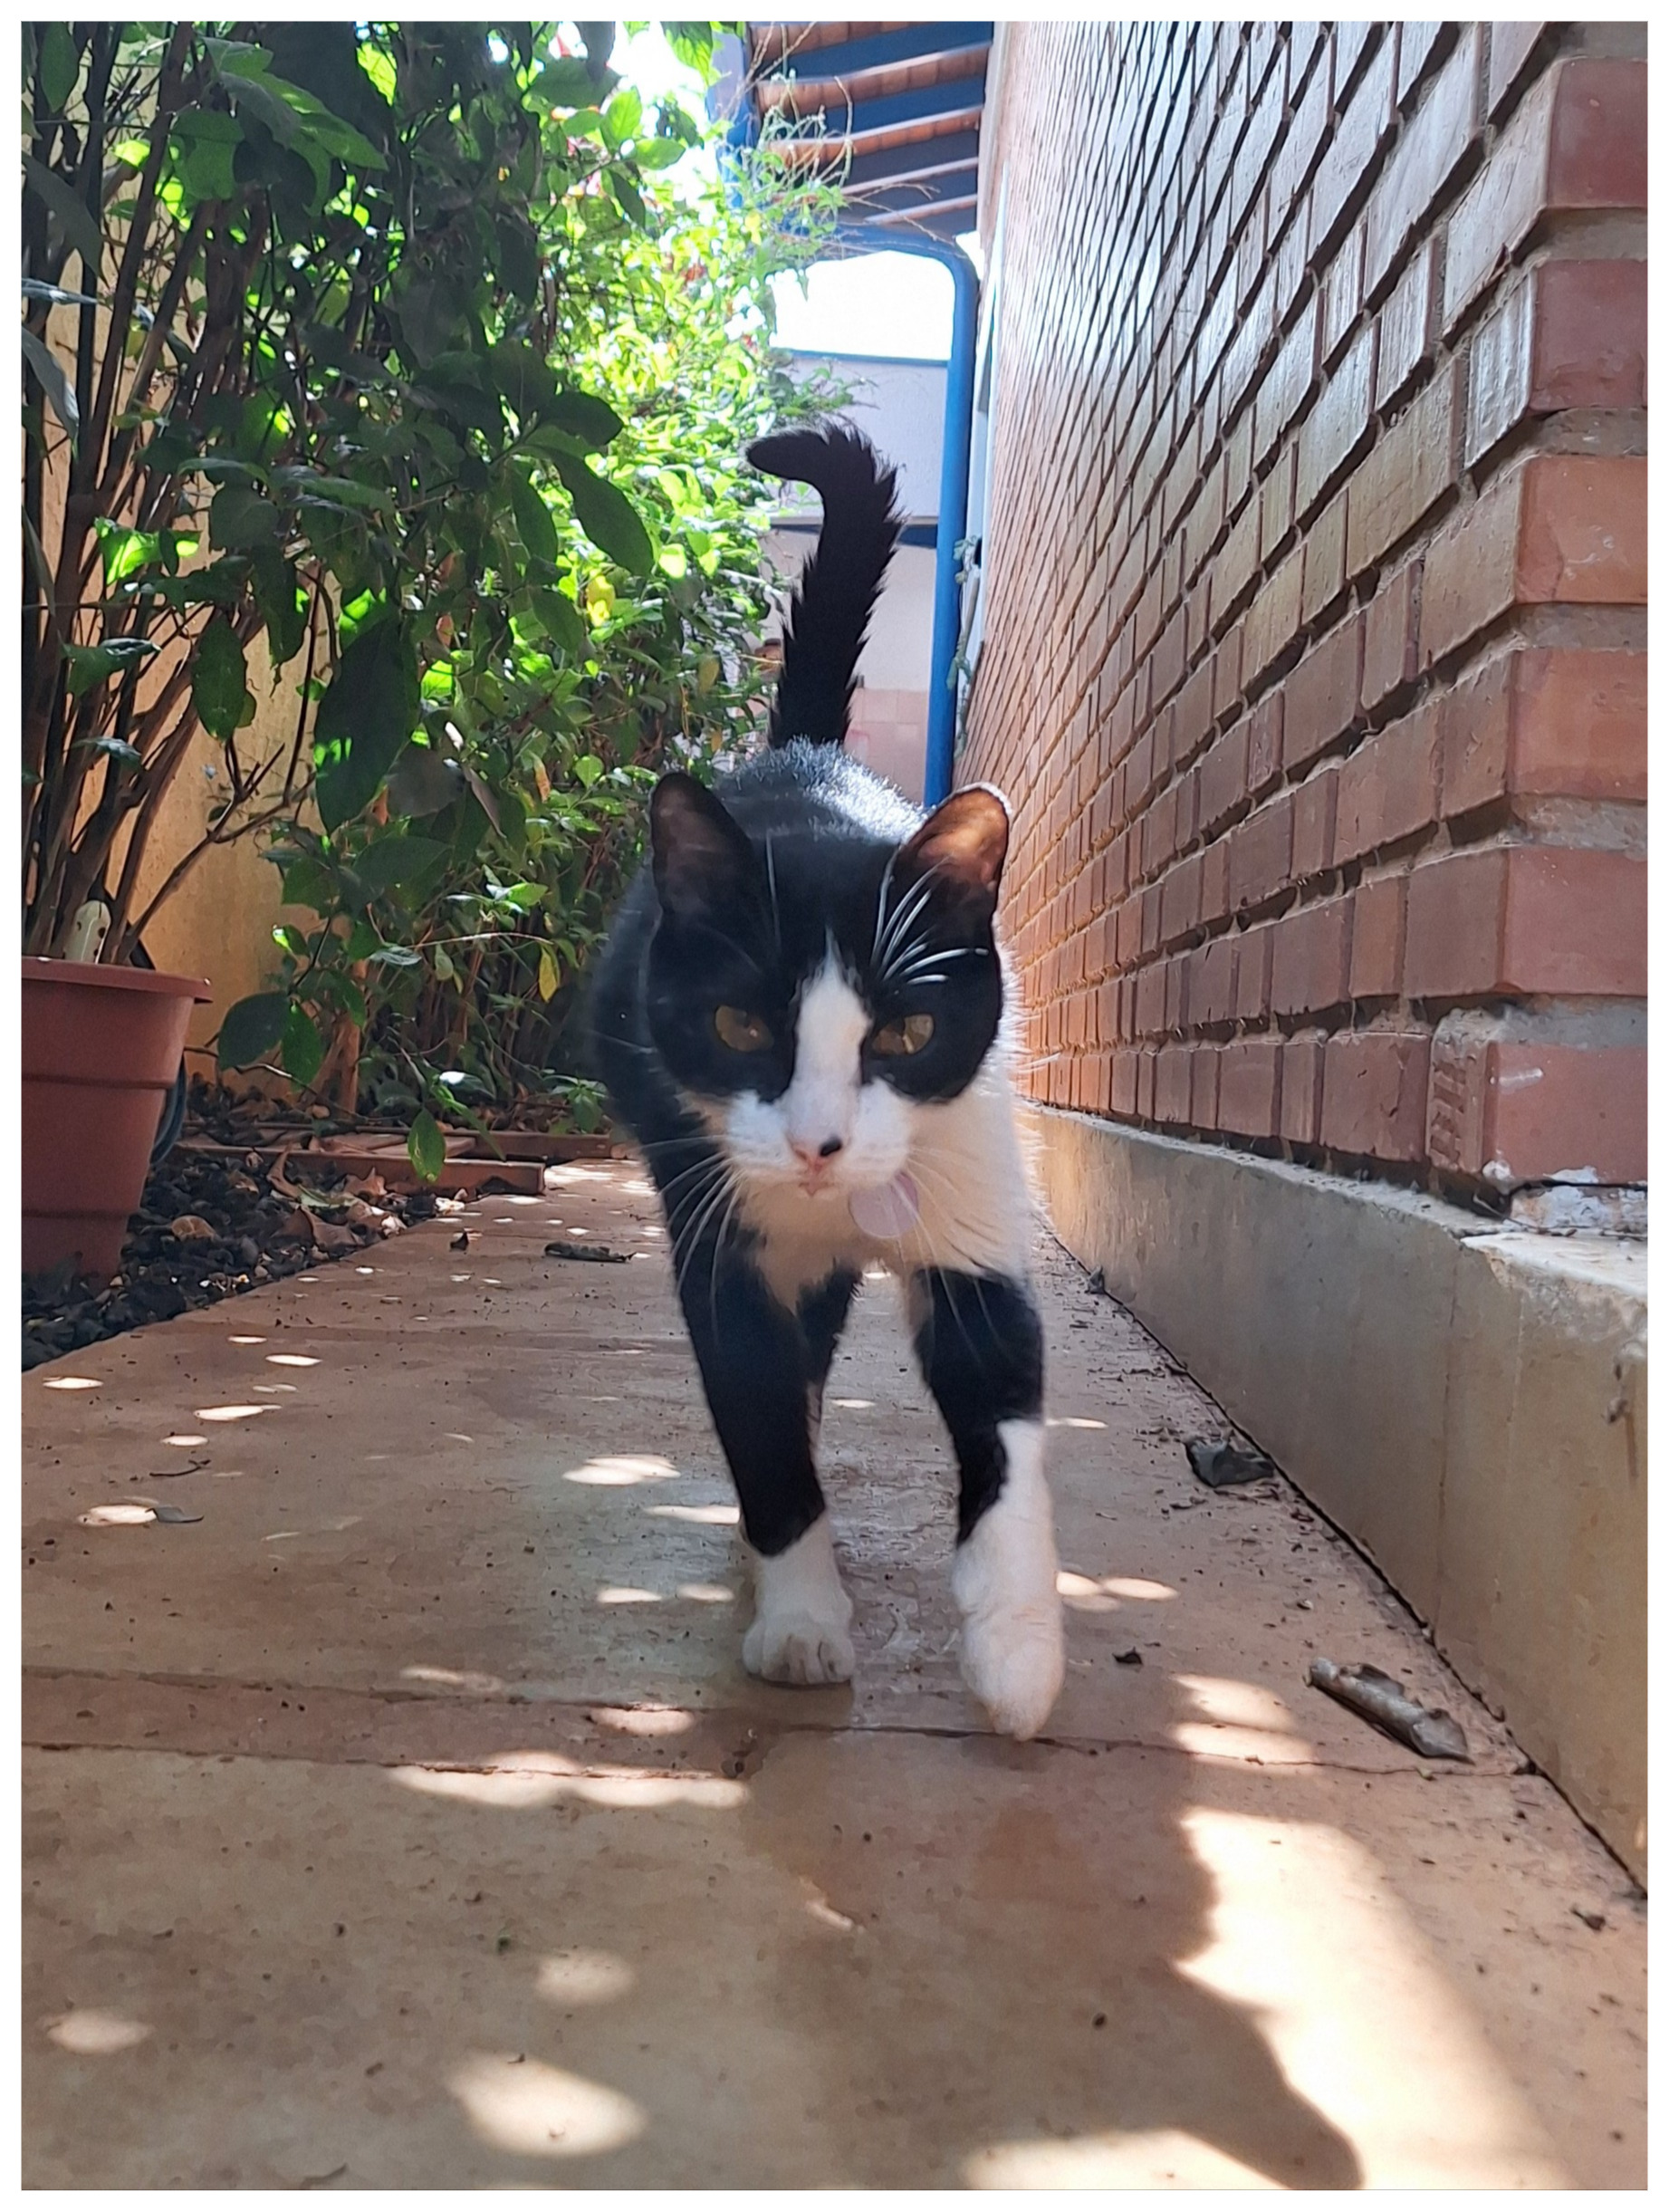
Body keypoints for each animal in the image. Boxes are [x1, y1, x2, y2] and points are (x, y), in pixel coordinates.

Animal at [588, 422, 1065, 1734]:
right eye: (742, 1022)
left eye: (901, 1036)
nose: (816, 1146)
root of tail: (801, 759)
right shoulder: (719, 1240)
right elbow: (757, 1416)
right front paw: (800, 1613)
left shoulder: (970, 1186)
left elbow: (1003, 1410)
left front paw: (1016, 1648)